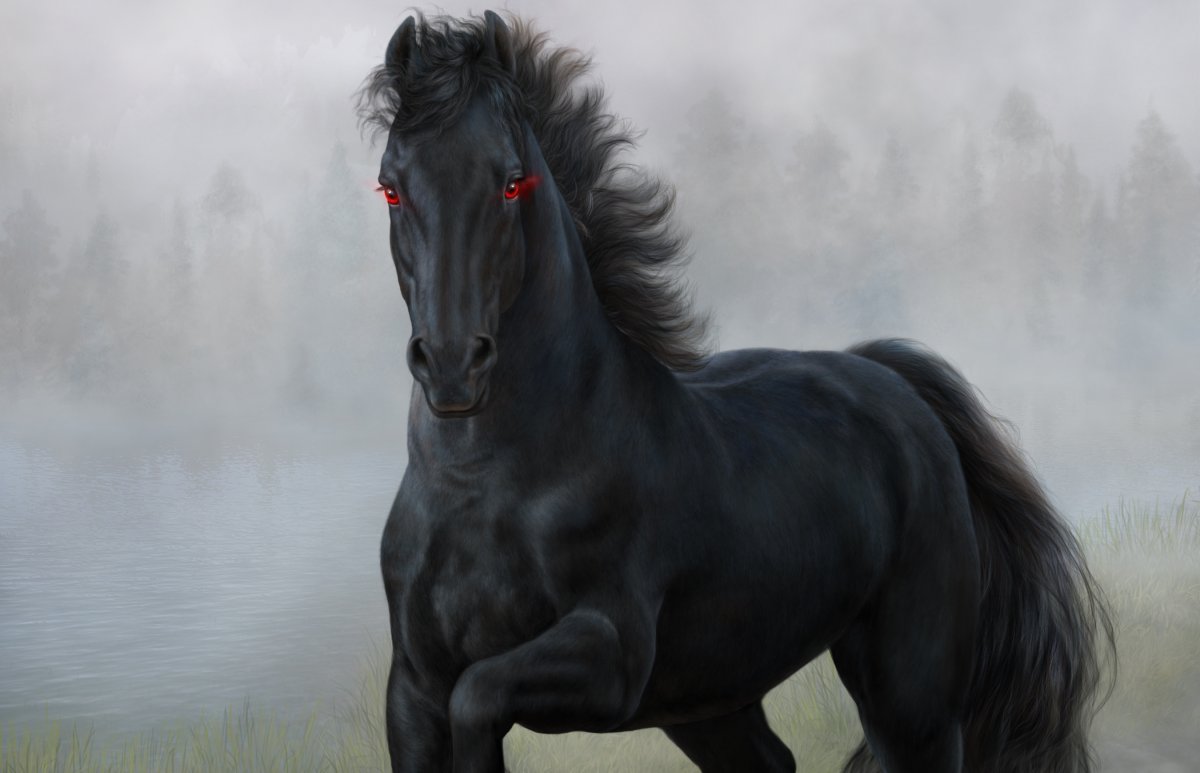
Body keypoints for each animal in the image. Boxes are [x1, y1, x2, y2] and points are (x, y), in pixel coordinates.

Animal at [357, 12, 1114, 772]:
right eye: (390, 188)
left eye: (513, 183)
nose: (452, 365)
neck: (483, 489)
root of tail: (894, 382)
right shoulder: (413, 689)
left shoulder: (609, 657)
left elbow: (477, 695)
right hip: (708, 701)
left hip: (912, 701)